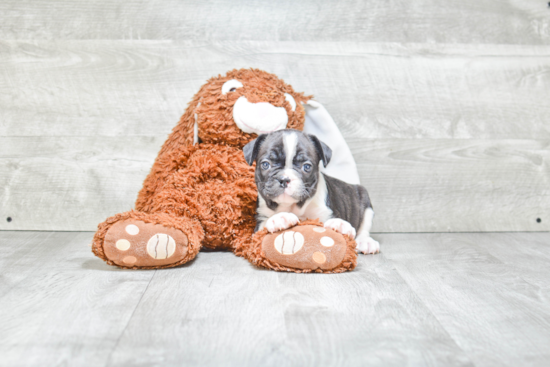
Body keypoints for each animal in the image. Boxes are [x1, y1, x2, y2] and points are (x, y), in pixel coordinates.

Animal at [244, 130, 382, 256]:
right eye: (265, 164)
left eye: (307, 167)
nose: (284, 179)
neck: (293, 207)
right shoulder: (259, 222)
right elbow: (263, 225)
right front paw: (279, 218)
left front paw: (339, 224)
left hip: (365, 200)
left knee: (364, 228)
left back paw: (366, 242)